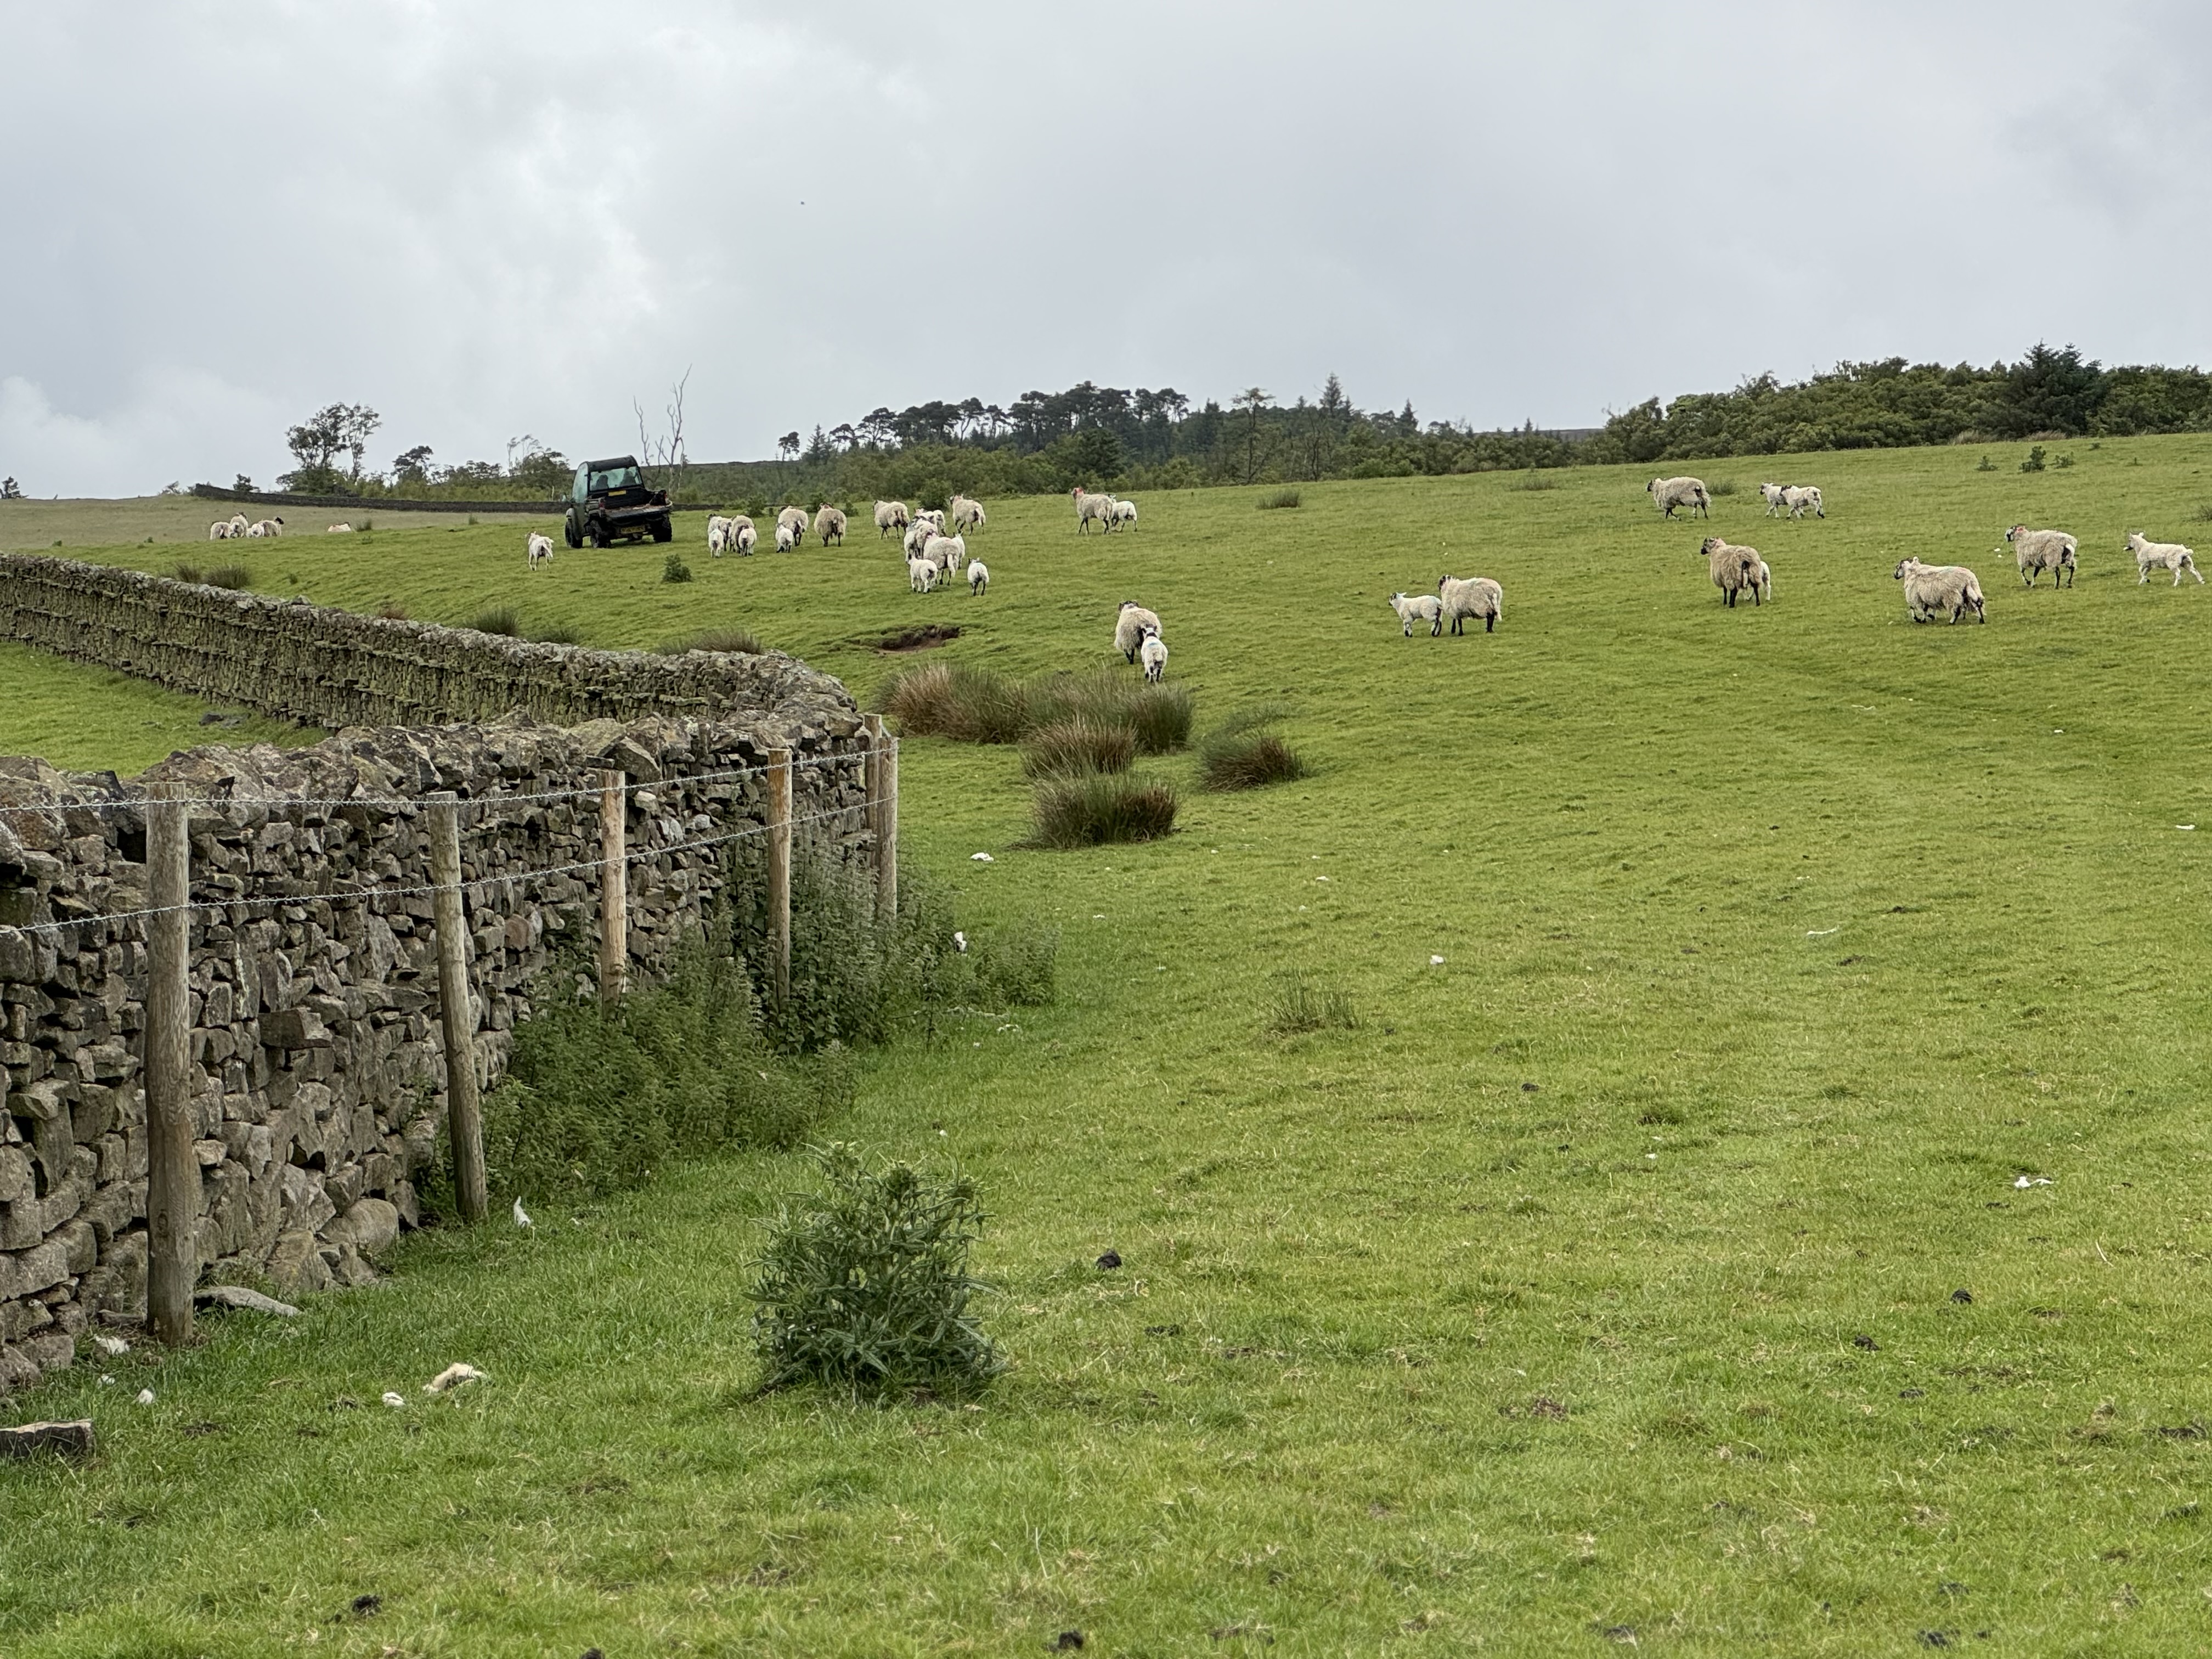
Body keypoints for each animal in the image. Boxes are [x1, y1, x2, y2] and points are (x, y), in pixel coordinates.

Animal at [1699, 537, 1768, 607]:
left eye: (1705, 544)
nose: (1701, 551)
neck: (1717, 549)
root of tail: (1744, 557)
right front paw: (1728, 602)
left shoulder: (1724, 577)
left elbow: (1726, 590)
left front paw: (1726, 602)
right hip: (1753, 573)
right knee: (1755, 588)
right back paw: (1758, 603)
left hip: (1735, 574)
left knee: (1735, 590)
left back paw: (1732, 605)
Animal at [1893, 557, 1986, 623]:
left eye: (1897, 567)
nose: (1895, 576)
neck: (1910, 572)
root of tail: (1968, 579)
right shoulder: (1925, 597)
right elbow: (1925, 609)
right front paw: (1927, 618)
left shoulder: (1915, 597)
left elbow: (1913, 608)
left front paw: (1918, 619)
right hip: (1971, 590)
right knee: (1978, 603)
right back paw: (1981, 620)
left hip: (1951, 596)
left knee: (1957, 610)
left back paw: (1952, 622)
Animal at [2006, 524, 2077, 589]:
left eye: (2009, 533)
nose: (2007, 539)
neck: (2022, 538)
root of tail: (2066, 542)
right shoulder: (2038, 562)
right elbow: (2035, 574)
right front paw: (2032, 584)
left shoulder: (2025, 561)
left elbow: (2022, 572)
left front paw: (2028, 582)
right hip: (2066, 558)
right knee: (2072, 568)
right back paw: (2069, 584)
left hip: (2052, 557)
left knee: (2058, 573)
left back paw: (2056, 586)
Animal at [2126, 531, 2203, 586]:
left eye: (2129, 540)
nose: (2128, 547)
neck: (2141, 547)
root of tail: (2184, 551)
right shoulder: (2149, 566)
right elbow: (2144, 573)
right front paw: (2142, 582)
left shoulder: (2144, 564)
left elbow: (2140, 571)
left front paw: (2146, 580)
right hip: (2186, 563)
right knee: (2194, 571)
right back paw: (2202, 581)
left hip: (2172, 564)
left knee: (2178, 573)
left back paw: (2175, 585)